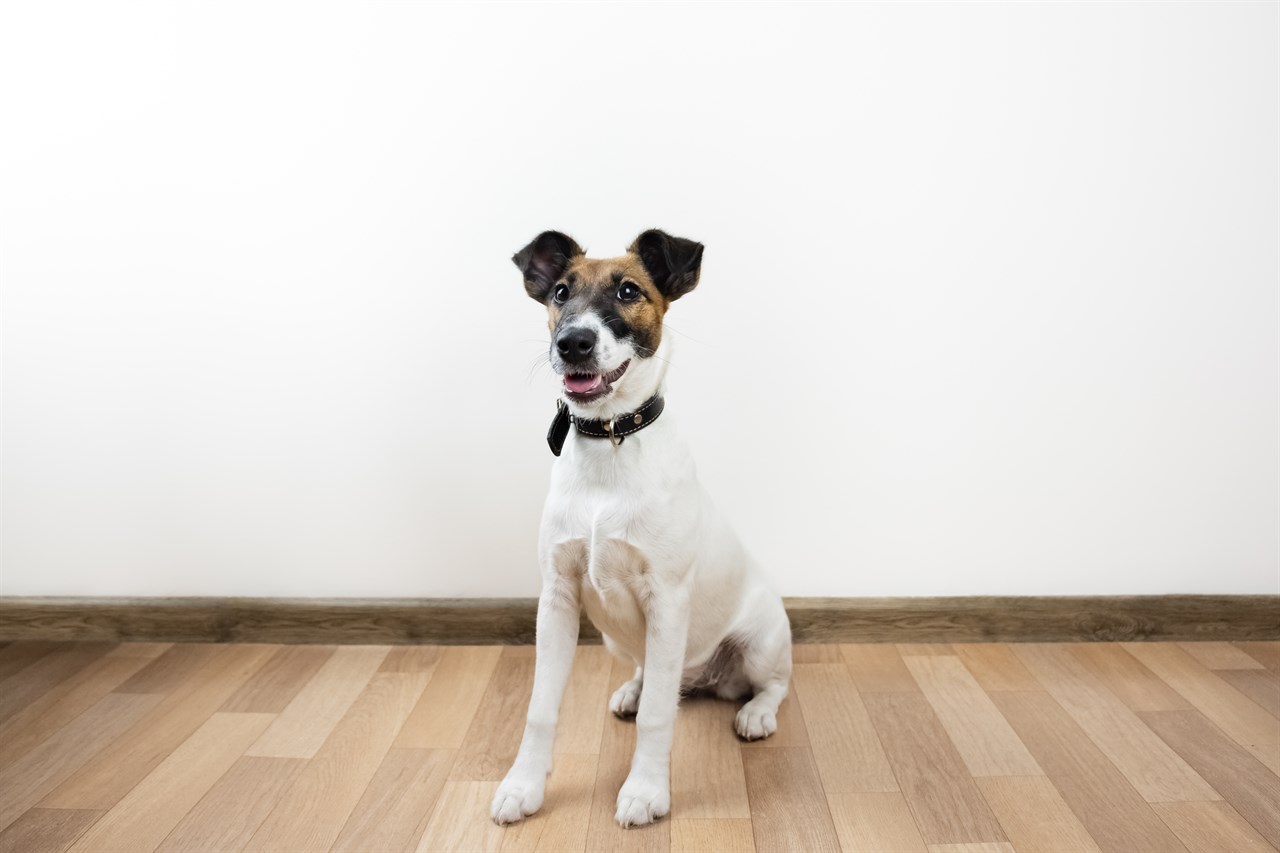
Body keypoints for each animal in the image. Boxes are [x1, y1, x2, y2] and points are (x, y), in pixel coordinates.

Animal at [488, 227, 788, 824]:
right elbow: (540, 708)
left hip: (761, 640)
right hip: (623, 640)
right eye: (560, 293)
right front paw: (523, 785)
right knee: (654, 679)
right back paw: (635, 689)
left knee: (773, 684)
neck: (611, 443)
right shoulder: (556, 600)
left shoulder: (666, 600)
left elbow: (657, 718)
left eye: (629, 291)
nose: (573, 343)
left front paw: (646, 791)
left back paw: (756, 713)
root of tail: (705, 678)